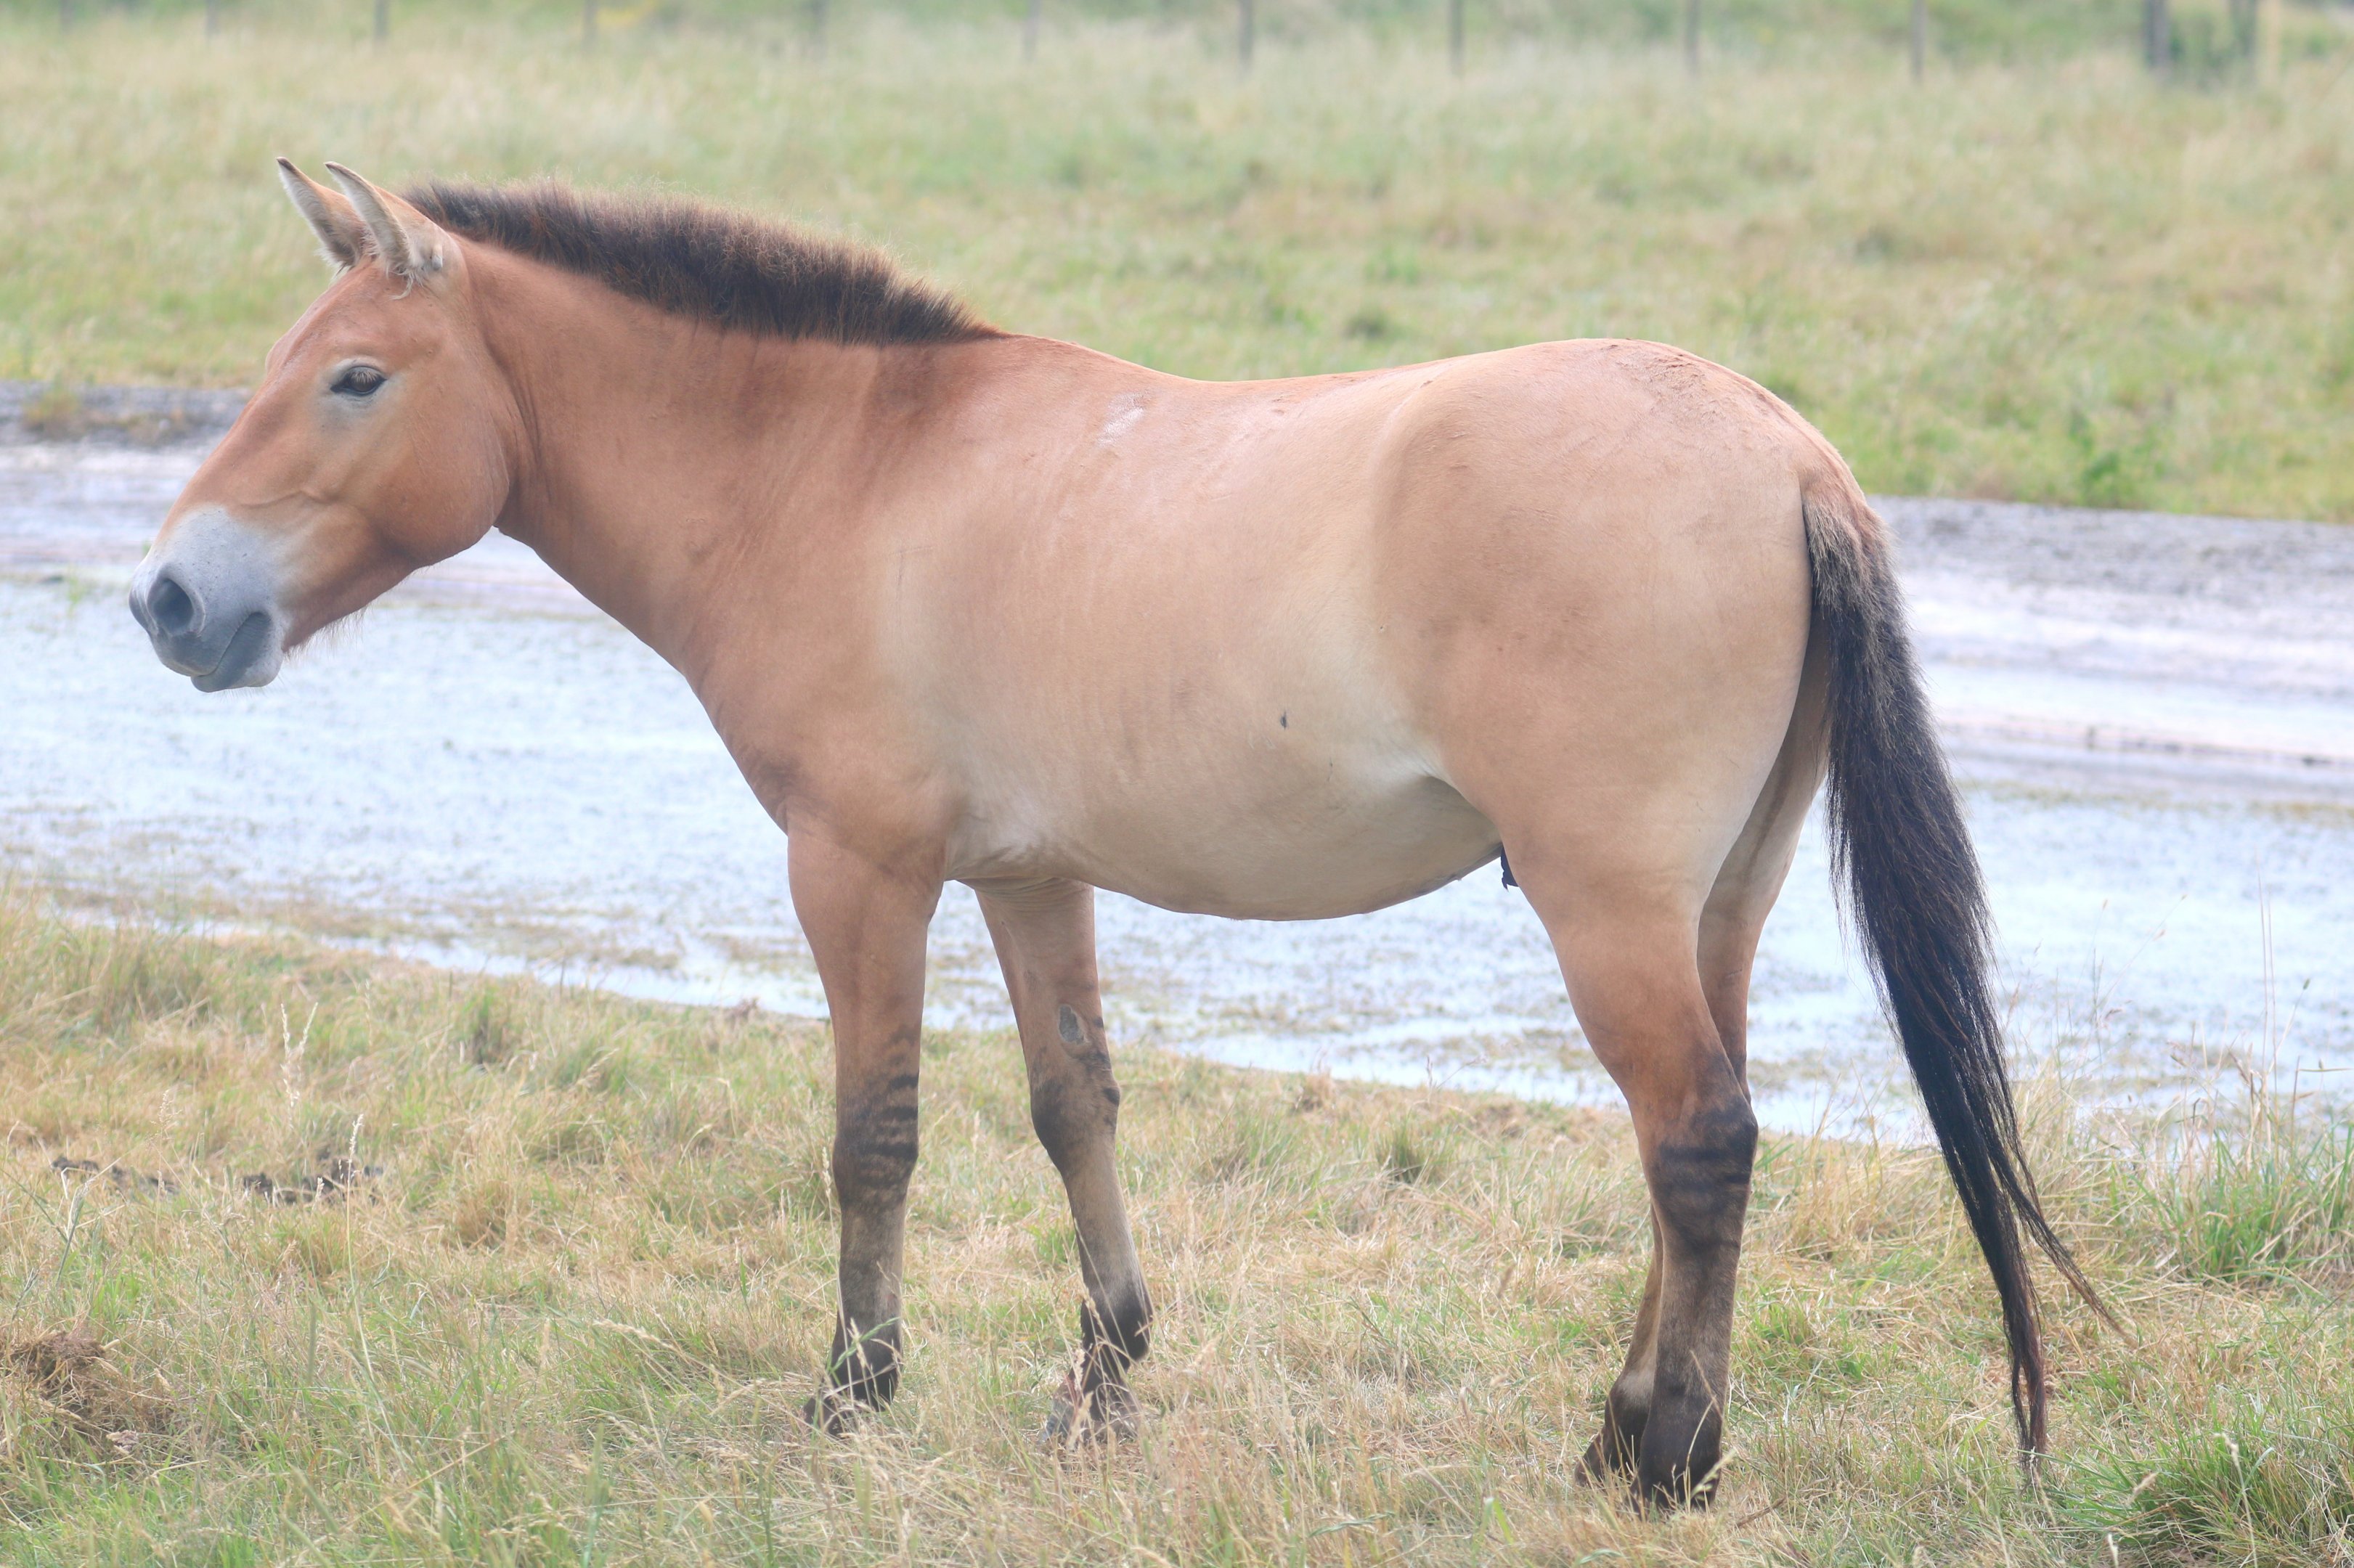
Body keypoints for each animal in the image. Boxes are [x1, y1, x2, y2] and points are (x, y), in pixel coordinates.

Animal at [129, 161, 2095, 1507]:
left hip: (1610, 904)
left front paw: (853, 1388)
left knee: (1695, 1140)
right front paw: (1106, 1379)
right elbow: (1073, 1105)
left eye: (357, 379)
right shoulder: (1027, 872)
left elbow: (874, 1133)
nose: (170, 602)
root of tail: (1787, 458)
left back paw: (1662, 1455)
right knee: (1692, 1152)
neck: (847, 469)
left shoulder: (860, 869)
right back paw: (1631, 1428)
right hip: (1717, 906)